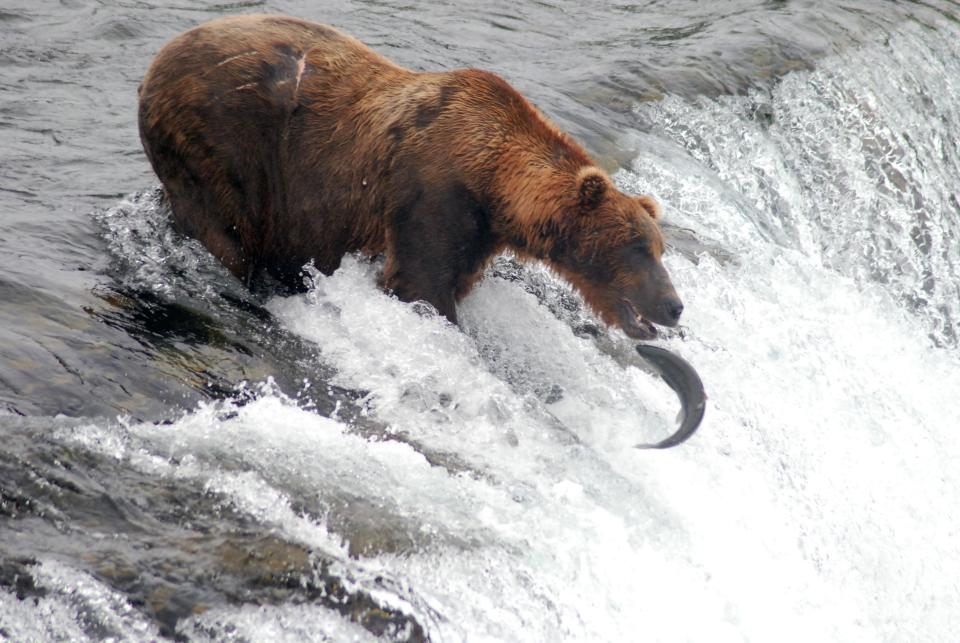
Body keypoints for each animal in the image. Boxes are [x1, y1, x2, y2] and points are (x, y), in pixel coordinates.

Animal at [141, 12, 684, 340]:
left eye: (659, 248)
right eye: (637, 247)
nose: (675, 305)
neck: (494, 184)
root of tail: (158, 58)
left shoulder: (476, 234)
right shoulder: (432, 196)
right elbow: (420, 283)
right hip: (226, 147)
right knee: (225, 233)